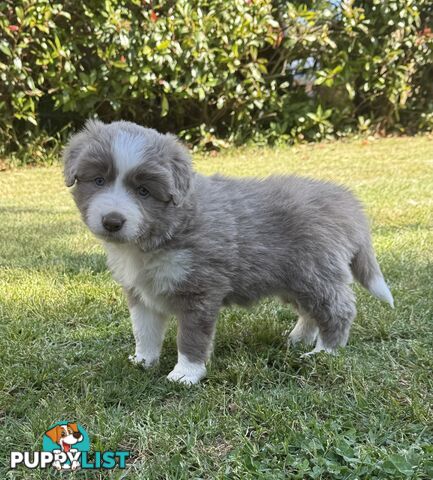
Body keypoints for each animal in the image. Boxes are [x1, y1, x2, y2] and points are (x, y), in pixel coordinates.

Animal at [63, 121, 392, 386]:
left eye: (143, 191)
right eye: (99, 180)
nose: (112, 221)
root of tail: (346, 201)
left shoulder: (200, 290)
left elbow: (191, 337)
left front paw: (185, 374)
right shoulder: (141, 292)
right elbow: (144, 331)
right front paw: (143, 362)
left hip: (316, 272)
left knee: (338, 309)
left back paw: (324, 352)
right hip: (295, 280)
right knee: (311, 311)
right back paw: (298, 339)